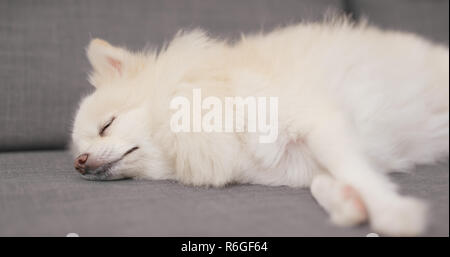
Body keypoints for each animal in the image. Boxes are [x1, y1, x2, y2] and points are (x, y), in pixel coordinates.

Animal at [72, 18, 448, 236]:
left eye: (107, 125)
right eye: (80, 150)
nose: (78, 163)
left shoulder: (321, 123)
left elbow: (354, 170)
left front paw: (391, 211)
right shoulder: (299, 164)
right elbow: (324, 182)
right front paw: (347, 202)